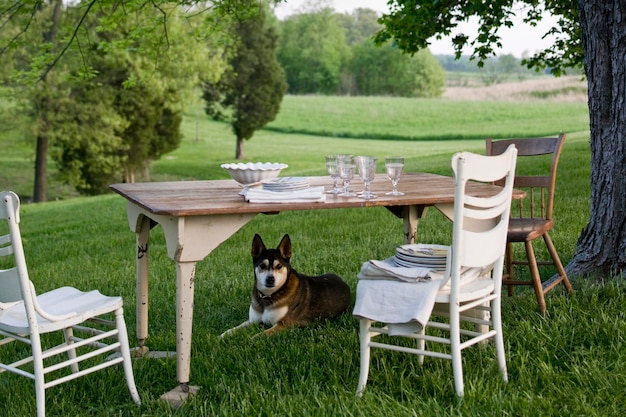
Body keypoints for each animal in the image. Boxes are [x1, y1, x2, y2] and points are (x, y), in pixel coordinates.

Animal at [219, 232, 348, 336]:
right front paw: (222, 336)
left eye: (279, 266)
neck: (268, 296)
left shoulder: (283, 325)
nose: (270, 279)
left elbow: (261, 335)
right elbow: (234, 329)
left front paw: (251, 340)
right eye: (262, 265)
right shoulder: (252, 321)